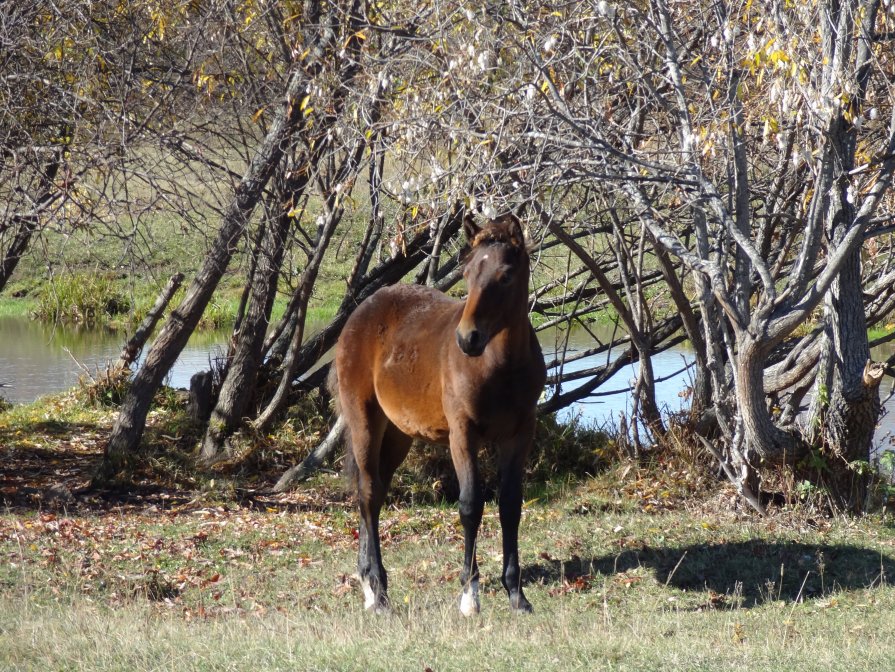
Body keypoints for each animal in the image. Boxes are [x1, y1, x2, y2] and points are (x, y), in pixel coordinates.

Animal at [332, 214, 544, 616]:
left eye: (506, 276)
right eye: (466, 272)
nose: (468, 339)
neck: (500, 368)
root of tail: (360, 311)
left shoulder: (520, 435)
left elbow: (511, 505)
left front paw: (517, 594)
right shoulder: (463, 434)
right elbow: (470, 505)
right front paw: (469, 597)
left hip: (398, 434)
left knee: (376, 492)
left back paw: (367, 585)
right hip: (364, 419)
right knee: (367, 493)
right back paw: (379, 592)